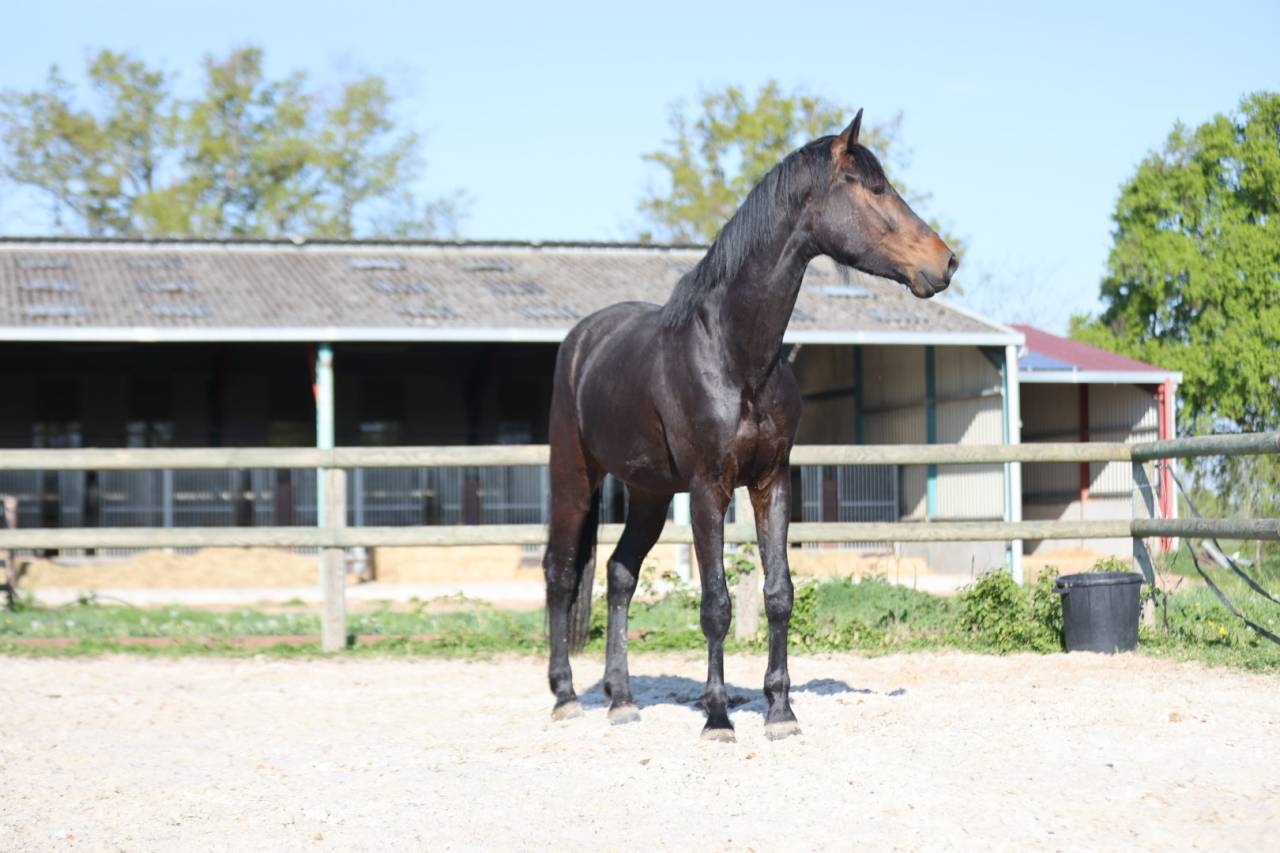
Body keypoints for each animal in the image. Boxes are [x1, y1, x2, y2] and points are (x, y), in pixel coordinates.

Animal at [543, 110, 957, 741]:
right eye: (874, 189)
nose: (947, 261)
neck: (736, 354)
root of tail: (582, 340)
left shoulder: (772, 482)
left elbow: (778, 593)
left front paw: (780, 710)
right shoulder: (708, 490)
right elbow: (716, 602)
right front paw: (717, 717)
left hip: (648, 493)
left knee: (618, 573)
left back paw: (622, 700)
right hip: (574, 480)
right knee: (562, 575)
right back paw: (566, 696)